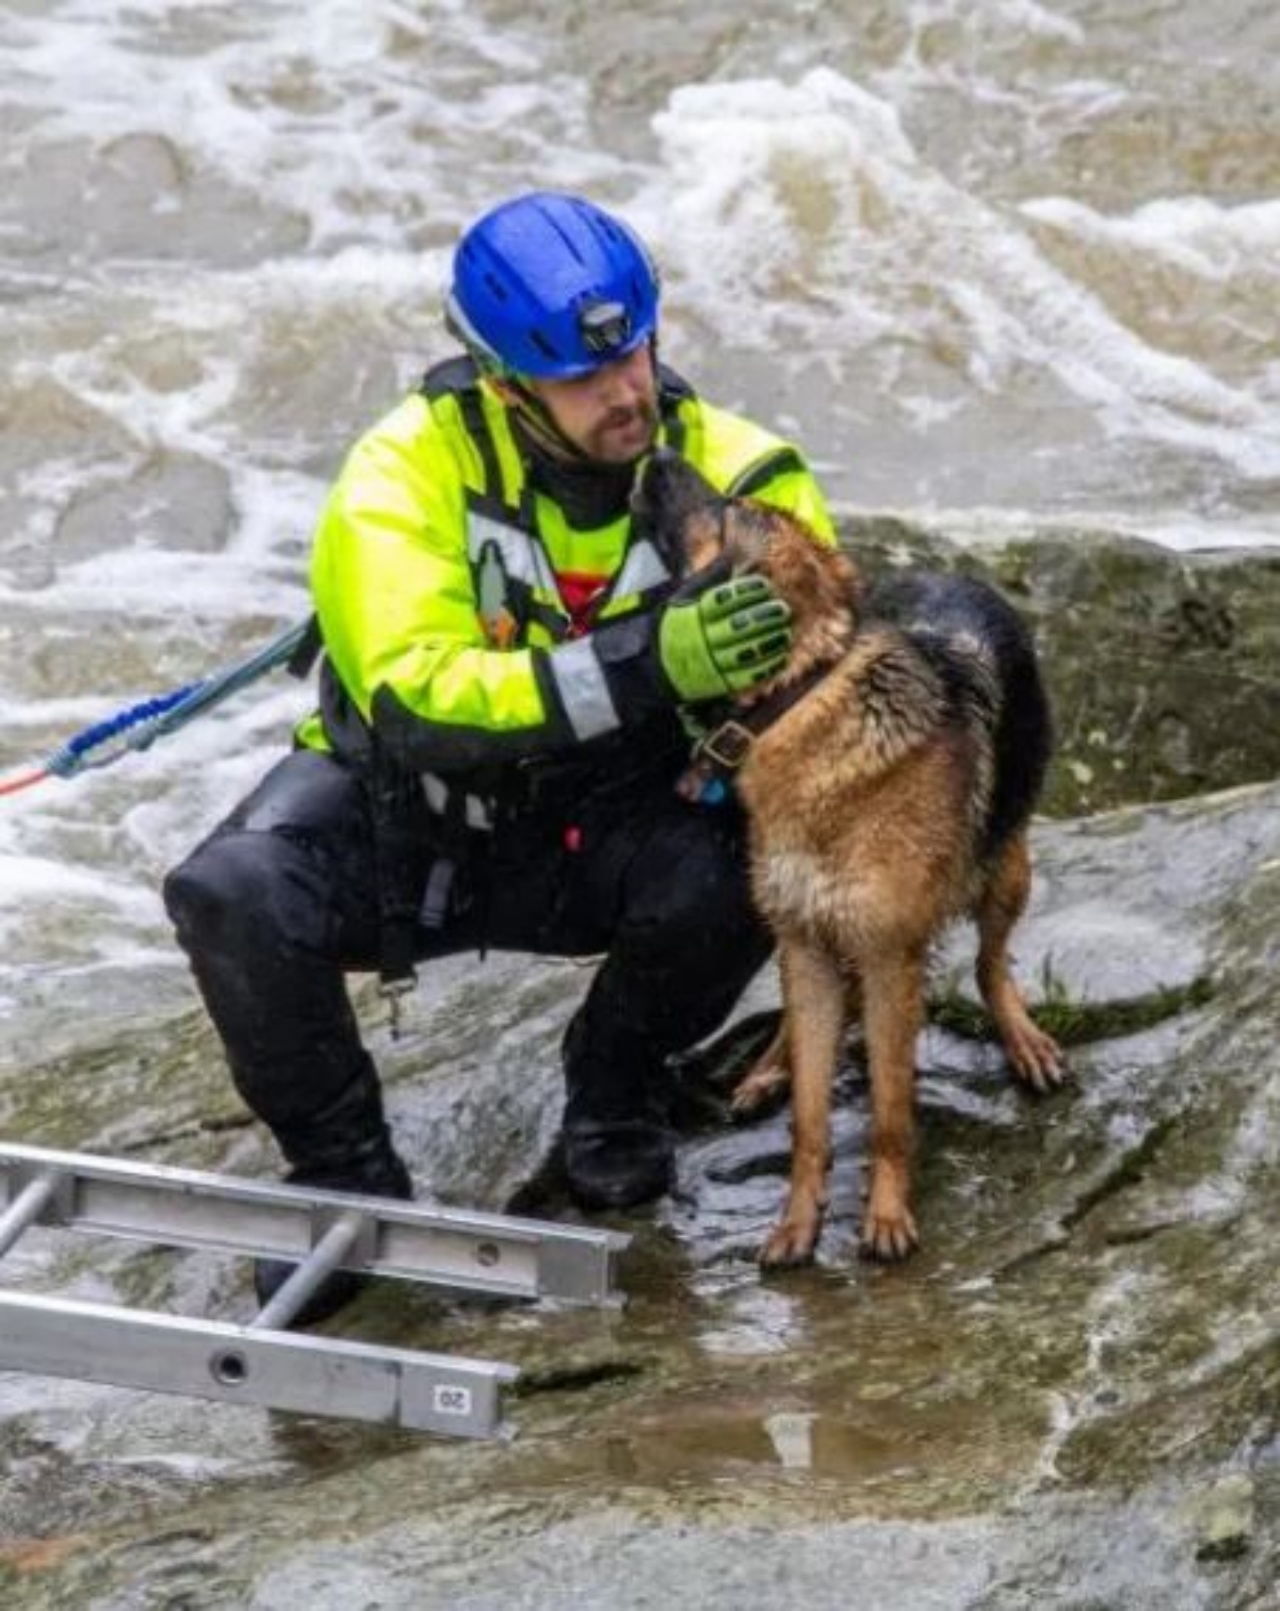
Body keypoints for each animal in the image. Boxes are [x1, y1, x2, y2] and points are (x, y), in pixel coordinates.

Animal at [634, 454, 1069, 1269]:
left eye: (728, 507)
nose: (657, 456)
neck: (802, 697)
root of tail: (948, 571)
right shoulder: (807, 942)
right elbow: (810, 1114)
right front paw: (796, 1222)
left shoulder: (888, 956)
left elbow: (891, 1110)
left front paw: (887, 1215)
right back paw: (768, 1068)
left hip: (1006, 868)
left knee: (991, 963)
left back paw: (1022, 1036)